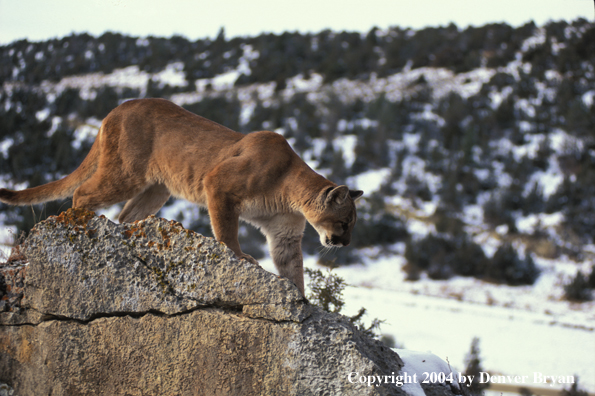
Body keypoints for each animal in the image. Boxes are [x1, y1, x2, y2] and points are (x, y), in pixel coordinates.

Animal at [1, 99, 364, 296]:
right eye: (344, 221)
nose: (345, 243)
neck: (289, 190)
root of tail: (117, 108)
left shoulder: (284, 232)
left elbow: (293, 268)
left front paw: (302, 302)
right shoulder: (218, 184)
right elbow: (227, 232)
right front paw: (241, 257)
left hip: (156, 187)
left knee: (126, 216)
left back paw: (124, 234)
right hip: (126, 174)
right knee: (82, 192)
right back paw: (81, 224)